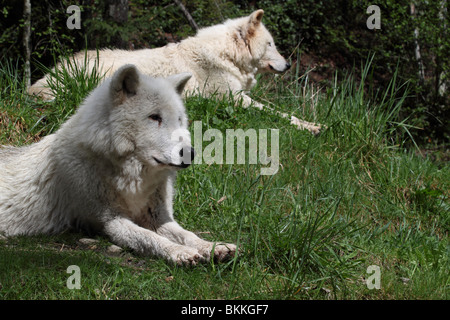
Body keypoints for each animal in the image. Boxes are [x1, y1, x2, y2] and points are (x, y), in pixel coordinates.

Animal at [0, 64, 237, 264]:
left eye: (179, 119)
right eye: (154, 117)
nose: (190, 154)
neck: (133, 177)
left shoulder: (158, 216)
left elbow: (187, 234)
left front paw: (213, 247)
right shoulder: (111, 222)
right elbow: (149, 237)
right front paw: (180, 252)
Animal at [28, 10, 324, 134]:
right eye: (271, 44)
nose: (288, 65)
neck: (226, 54)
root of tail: (50, 75)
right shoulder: (235, 99)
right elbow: (278, 113)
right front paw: (311, 126)